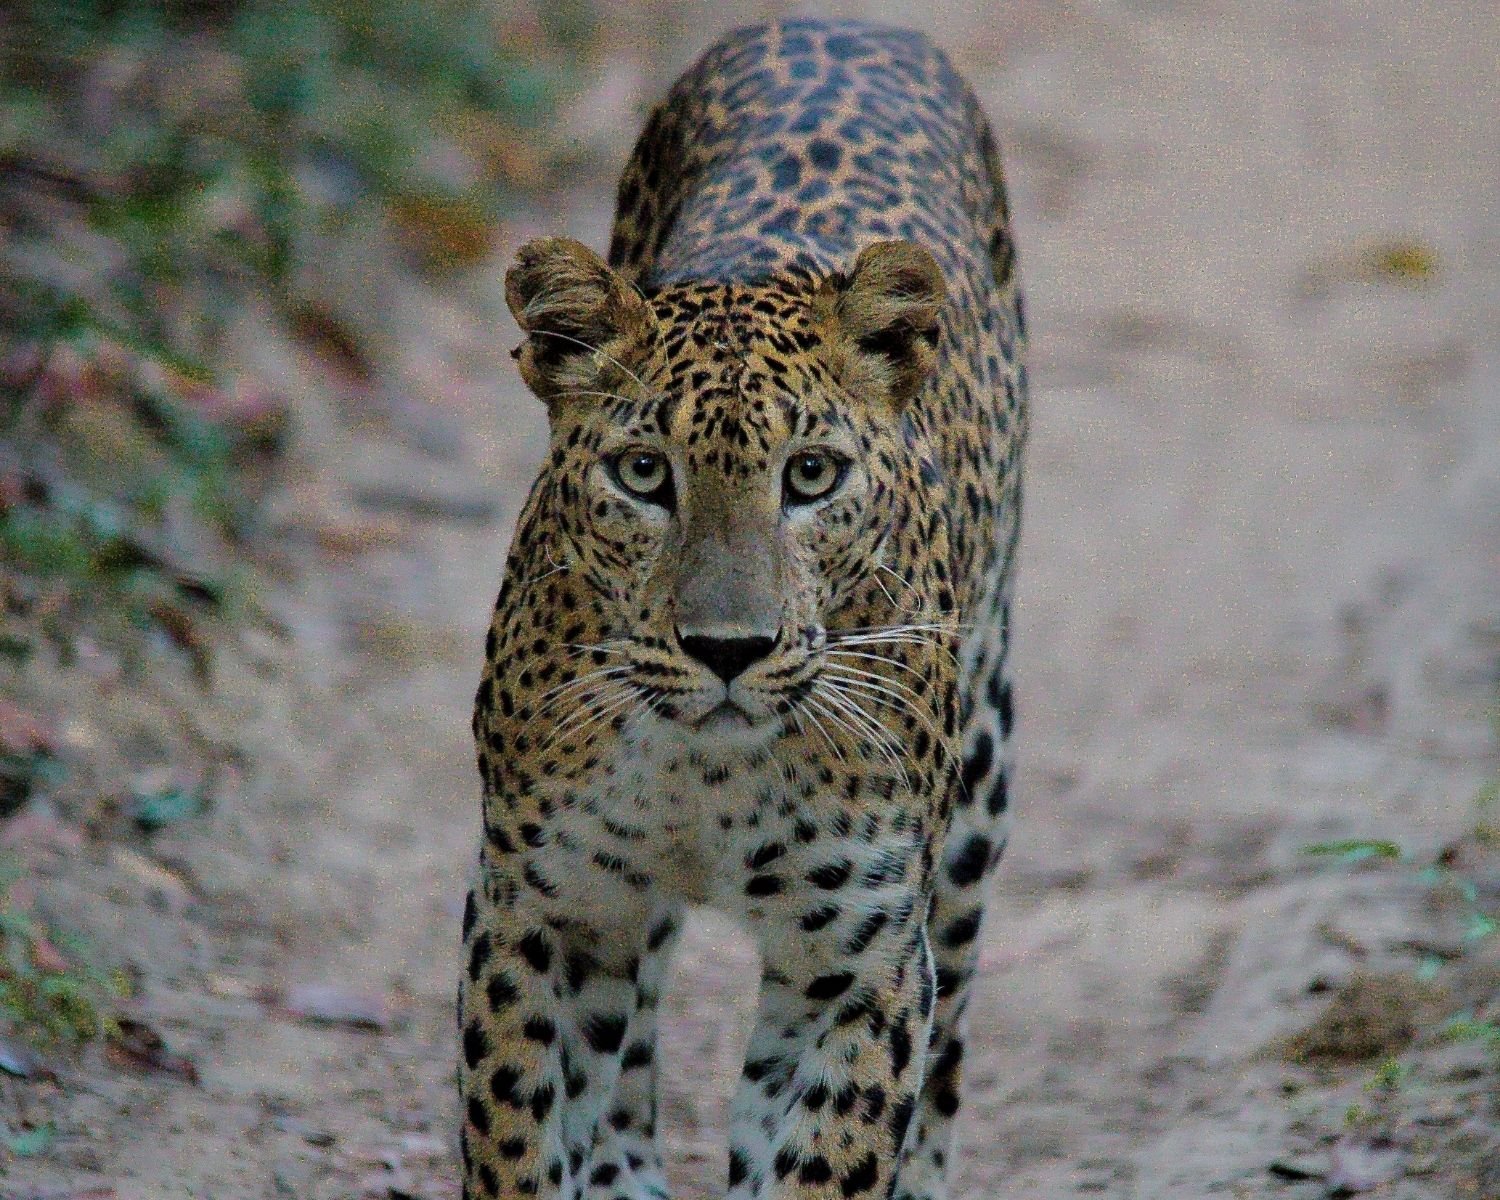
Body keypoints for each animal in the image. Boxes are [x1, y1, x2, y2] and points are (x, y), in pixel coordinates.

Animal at [459, 17, 1027, 1200]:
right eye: (643, 474)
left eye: (810, 476)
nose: (729, 649)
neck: (707, 773)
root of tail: (846, 21)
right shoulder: (535, 911)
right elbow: (519, 1134)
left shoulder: (859, 962)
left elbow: (827, 1153)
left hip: (979, 790)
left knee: (945, 1035)